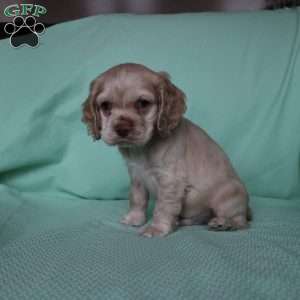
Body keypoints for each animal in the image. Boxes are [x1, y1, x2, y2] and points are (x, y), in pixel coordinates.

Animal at [81, 62, 251, 237]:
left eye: (143, 103)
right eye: (105, 105)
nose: (122, 129)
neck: (142, 148)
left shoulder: (170, 180)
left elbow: (163, 207)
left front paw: (156, 228)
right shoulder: (136, 176)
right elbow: (137, 199)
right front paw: (134, 219)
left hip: (227, 196)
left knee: (241, 221)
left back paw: (225, 223)